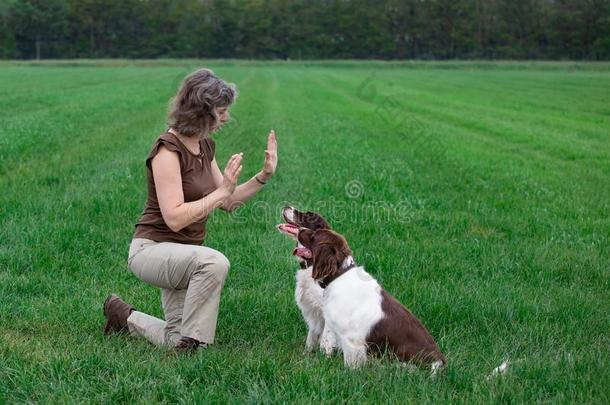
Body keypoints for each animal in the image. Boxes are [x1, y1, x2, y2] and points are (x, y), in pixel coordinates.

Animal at [276, 208, 338, 354]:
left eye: (309, 215)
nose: (286, 206)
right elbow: (311, 336)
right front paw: (307, 353)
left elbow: (326, 338)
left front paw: (325, 355)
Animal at [296, 227, 444, 372]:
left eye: (314, 235)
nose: (299, 229)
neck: (340, 275)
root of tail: (440, 362)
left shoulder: (351, 339)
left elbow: (350, 365)